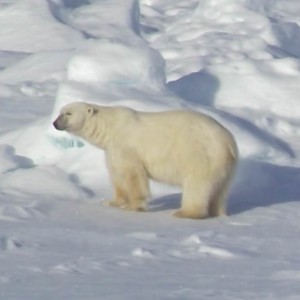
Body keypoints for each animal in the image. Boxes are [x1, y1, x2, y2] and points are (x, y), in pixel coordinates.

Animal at [53, 102, 237, 219]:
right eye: (59, 112)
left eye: (68, 113)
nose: (55, 123)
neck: (110, 127)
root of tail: (229, 141)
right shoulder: (112, 150)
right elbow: (117, 174)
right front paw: (112, 202)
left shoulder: (126, 145)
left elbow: (133, 174)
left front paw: (134, 207)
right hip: (224, 166)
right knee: (221, 190)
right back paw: (218, 212)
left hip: (201, 155)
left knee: (197, 184)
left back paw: (185, 213)